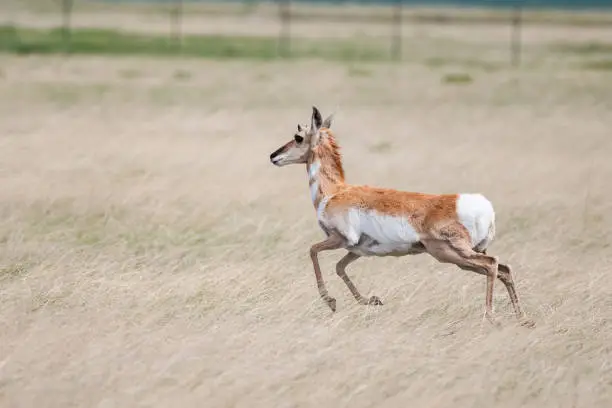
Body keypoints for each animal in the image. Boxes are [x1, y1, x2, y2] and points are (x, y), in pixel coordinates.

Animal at [270, 107, 532, 326]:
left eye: (298, 136)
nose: (273, 156)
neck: (336, 192)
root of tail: (479, 205)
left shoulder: (339, 239)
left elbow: (313, 250)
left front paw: (330, 301)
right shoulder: (357, 250)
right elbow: (339, 267)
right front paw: (372, 300)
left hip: (452, 253)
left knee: (493, 265)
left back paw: (491, 317)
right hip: (464, 255)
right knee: (504, 269)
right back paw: (522, 318)